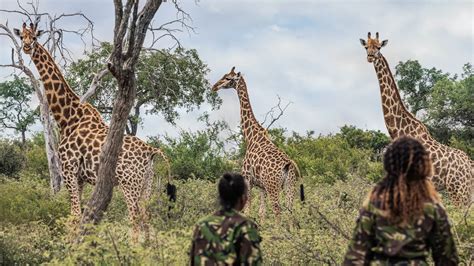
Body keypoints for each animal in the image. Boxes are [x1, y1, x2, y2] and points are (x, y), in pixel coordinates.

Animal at [13, 22, 174, 235]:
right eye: (21, 36)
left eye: (34, 37)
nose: (26, 46)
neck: (67, 118)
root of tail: (151, 150)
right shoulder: (79, 178)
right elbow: (77, 215)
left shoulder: (68, 170)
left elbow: (74, 216)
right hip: (146, 183)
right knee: (146, 220)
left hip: (130, 183)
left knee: (135, 220)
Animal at [212, 66, 304, 218]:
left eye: (228, 78)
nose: (214, 86)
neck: (251, 137)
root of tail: (289, 165)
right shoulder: (261, 186)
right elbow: (262, 212)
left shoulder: (247, 179)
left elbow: (247, 210)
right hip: (289, 186)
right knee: (290, 211)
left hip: (273, 186)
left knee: (277, 210)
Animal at [362, 31, 472, 206]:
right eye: (366, 46)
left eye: (378, 47)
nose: (370, 56)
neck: (399, 131)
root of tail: (470, 166)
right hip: (465, 192)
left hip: (458, 190)